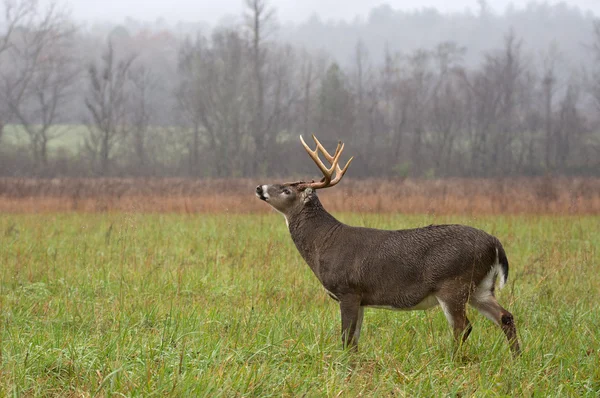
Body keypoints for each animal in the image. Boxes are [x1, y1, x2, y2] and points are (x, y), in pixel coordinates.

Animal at [253, 135, 520, 356]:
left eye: (286, 190)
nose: (259, 187)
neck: (323, 242)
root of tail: (495, 244)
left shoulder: (348, 289)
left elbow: (346, 339)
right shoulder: (360, 298)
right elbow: (354, 340)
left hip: (454, 284)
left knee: (463, 327)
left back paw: (454, 360)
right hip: (481, 287)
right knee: (505, 317)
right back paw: (515, 358)